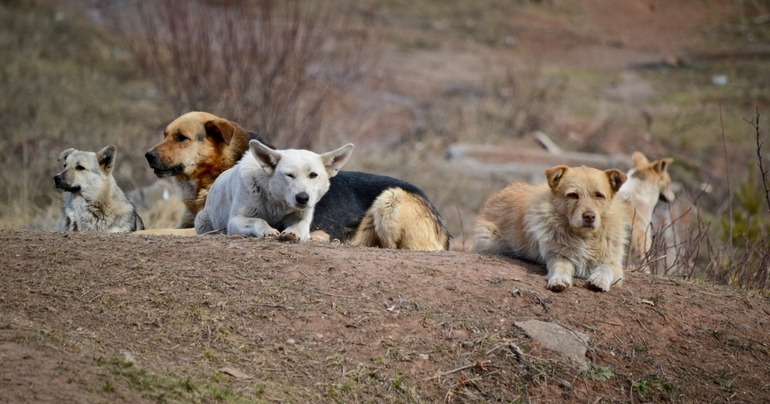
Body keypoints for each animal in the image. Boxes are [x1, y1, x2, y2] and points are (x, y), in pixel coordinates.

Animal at [472, 166, 628, 292]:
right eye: (572, 195)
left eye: (599, 195)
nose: (589, 216)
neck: (584, 237)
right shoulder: (557, 255)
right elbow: (560, 267)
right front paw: (559, 280)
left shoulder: (614, 263)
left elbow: (605, 268)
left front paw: (599, 280)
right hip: (489, 240)